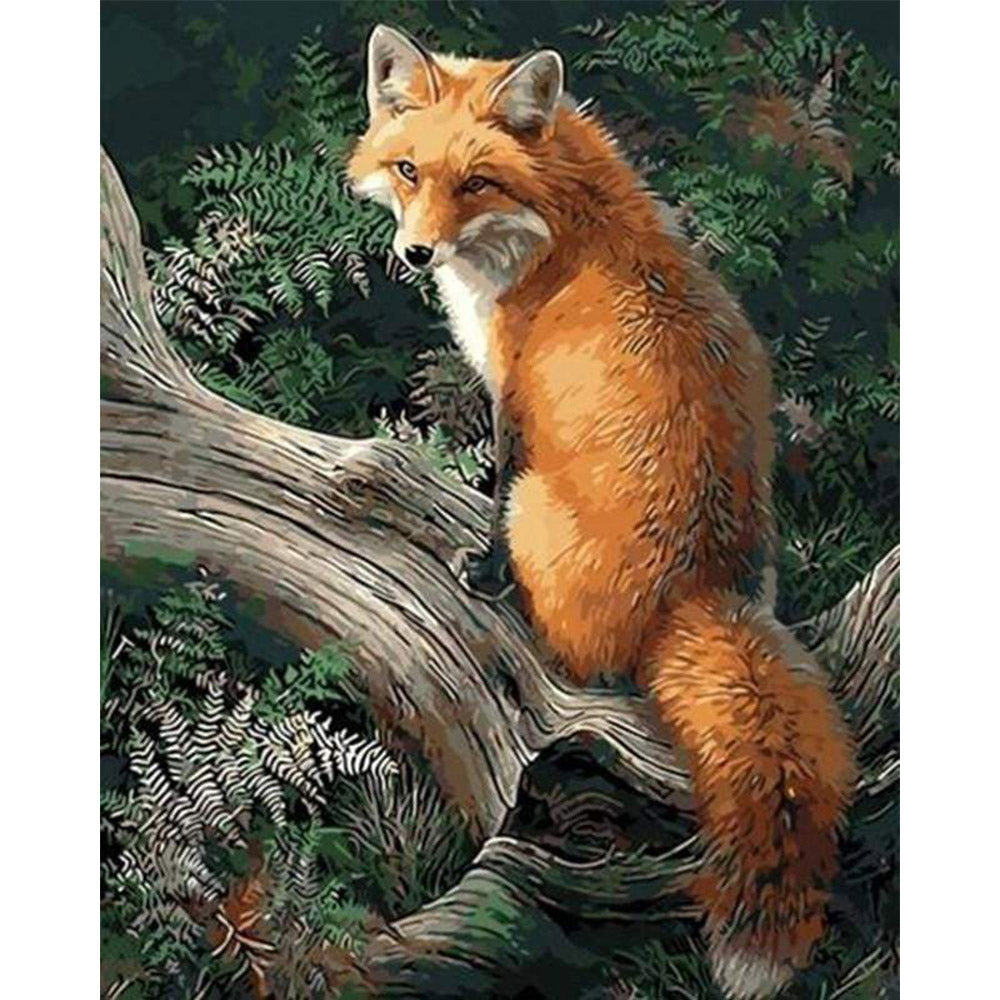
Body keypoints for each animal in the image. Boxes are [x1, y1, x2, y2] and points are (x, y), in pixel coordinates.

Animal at [348, 25, 856, 1000]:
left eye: (476, 182)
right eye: (408, 170)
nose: (416, 255)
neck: (564, 223)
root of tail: (698, 594)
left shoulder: (512, 395)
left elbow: (494, 486)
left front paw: (481, 570)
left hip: (542, 512)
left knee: (572, 649)